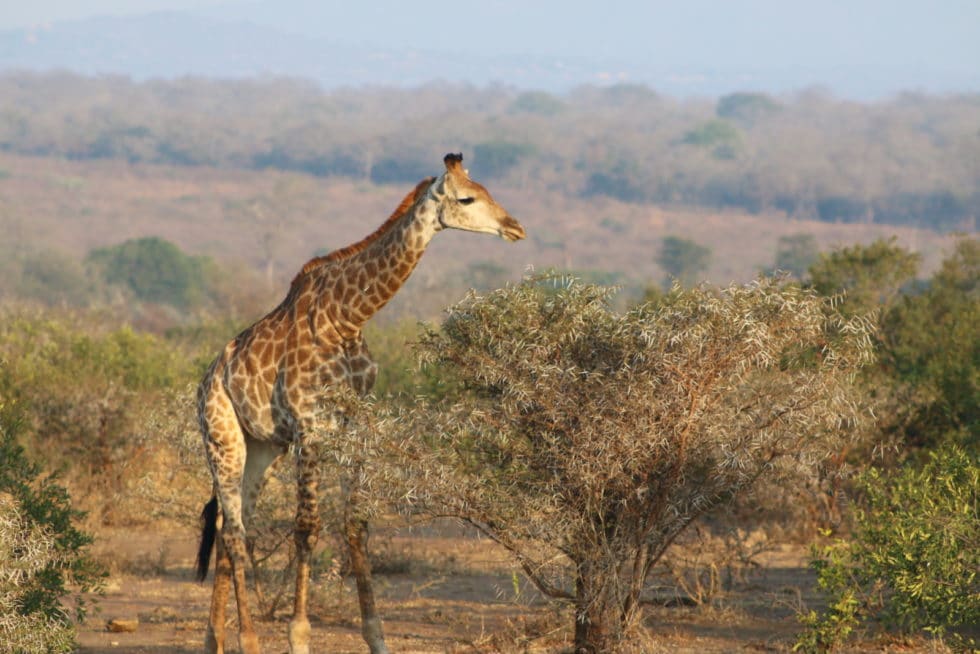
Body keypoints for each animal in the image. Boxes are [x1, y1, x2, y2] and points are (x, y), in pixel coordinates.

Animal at [194, 154, 524, 654]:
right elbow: (307, 527)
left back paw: (215, 640)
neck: (347, 319)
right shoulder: (309, 427)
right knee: (232, 530)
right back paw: (248, 640)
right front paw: (299, 636)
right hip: (222, 438)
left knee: (233, 524)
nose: (515, 227)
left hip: (265, 448)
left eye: (488, 190)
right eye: (468, 198)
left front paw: (376, 635)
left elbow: (356, 525)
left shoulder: (356, 427)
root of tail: (208, 379)